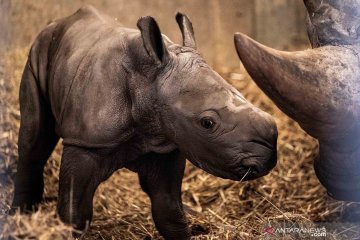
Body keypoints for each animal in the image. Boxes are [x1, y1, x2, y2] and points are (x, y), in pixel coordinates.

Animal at [10, 6, 276, 240]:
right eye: (207, 123)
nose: (268, 157)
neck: (148, 82)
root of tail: (60, 22)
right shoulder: (85, 142)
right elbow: (74, 214)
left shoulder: (167, 138)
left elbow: (169, 211)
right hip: (38, 52)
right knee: (33, 143)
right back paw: (19, 219)